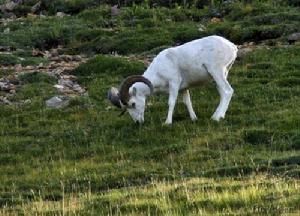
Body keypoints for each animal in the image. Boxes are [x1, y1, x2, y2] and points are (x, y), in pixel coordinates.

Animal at [107, 35, 237, 125]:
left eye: (133, 104)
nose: (138, 123)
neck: (159, 70)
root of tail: (232, 47)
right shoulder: (184, 88)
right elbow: (187, 102)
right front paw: (194, 119)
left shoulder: (174, 83)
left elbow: (171, 102)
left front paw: (167, 123)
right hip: (222, 74)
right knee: (222, 93)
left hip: (216, 71)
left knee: (227, 91)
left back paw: (216, 118)